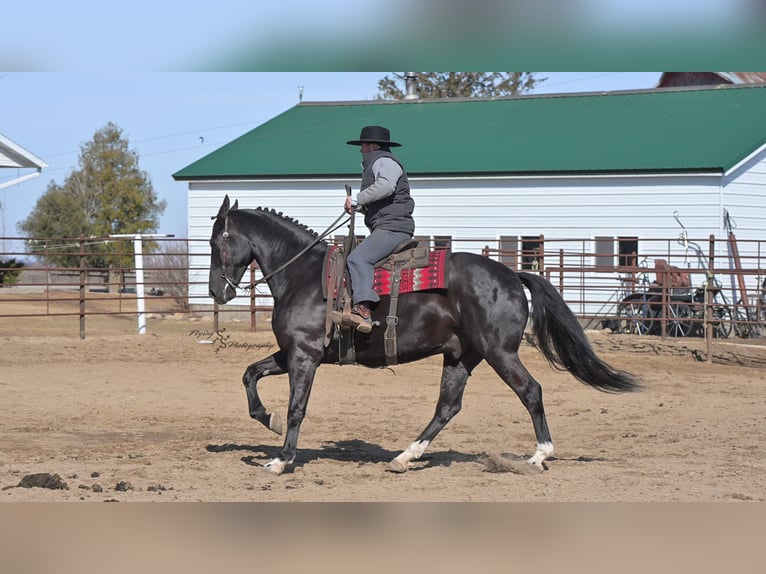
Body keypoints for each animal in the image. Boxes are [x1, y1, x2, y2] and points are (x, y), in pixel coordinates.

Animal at [208, 195, 640, 475]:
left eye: (216, 242)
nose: (217, 292)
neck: (305, 275)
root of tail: (511, 275)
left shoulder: (304, 355)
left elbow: (297, 407)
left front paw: (282, 458)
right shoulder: (292, 352)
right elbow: (249, 375)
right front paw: (269, 420)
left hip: (499, 352)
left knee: (530, 391)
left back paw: (538, 456)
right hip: (461, 356)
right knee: (447, 407)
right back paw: (404, 457)